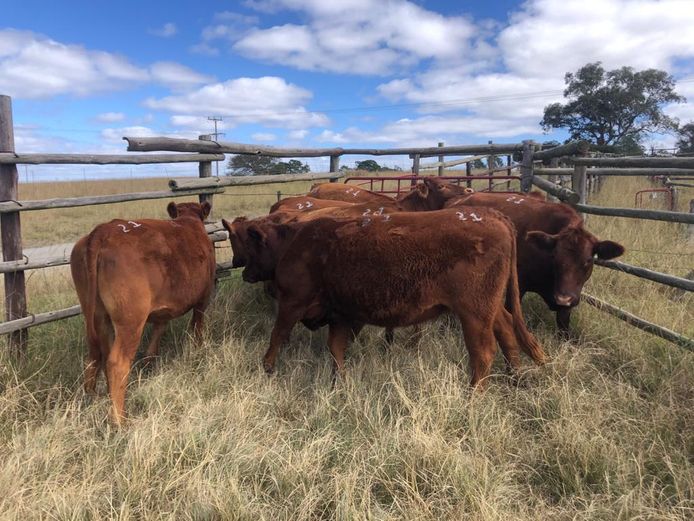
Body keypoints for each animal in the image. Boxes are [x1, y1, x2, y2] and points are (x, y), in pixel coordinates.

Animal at [71, 200, 215, 422]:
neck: (189, 221)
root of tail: (104, 230)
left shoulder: (163, 310)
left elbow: (157, 333)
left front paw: (149, 362)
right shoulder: (202, 300)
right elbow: (197, 329)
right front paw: (198, 351)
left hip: (97, 317)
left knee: (95, 356)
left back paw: (93, 399)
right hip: (130, 321)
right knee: (117, 363)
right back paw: (120, 420)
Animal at [231, 209, 548, 384]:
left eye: (250, 244)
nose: (242, 270)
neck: (296, 242)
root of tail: (493, 216)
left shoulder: (292, 303)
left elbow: (277, 336)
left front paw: (267, 368)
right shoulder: (342, 314)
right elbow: (336, 350)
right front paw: (338, 382)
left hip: (474, 313)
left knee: (482, 352)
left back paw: (473, 395)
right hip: (489, 308)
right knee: (507, 331)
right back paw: (516, 377)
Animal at [430, 183, 624, 330]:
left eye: (588, 261)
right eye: (555, 258)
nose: (563, 298)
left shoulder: (568, 298)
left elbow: (563, 324)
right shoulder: (518, 286)